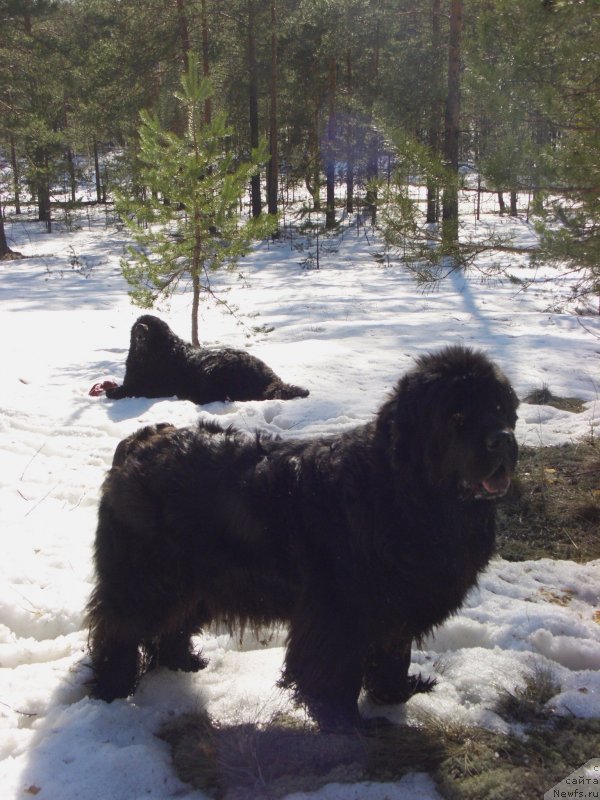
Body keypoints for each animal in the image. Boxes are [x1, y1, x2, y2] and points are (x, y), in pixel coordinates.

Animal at [86, 344, 516, 732]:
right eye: (456, 415)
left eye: (499, 409)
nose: (503, 440)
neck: (405, 492)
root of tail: (138, 441)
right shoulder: (340, 609)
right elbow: (332, 672)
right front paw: (347, 723)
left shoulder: (395, 606)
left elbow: (393, 653)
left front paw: (395, 693)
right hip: (147, 578)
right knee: (118, 628)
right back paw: (112, 687)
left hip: (194, 578)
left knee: (172, 622)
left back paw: (182, 663)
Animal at [89, 314, 310, 404]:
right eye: (138, 324)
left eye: (151, 326)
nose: (141, 328)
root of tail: (269, 379)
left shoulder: (154, 386)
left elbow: (130, 389)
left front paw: (113, 392)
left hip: (213, 369)